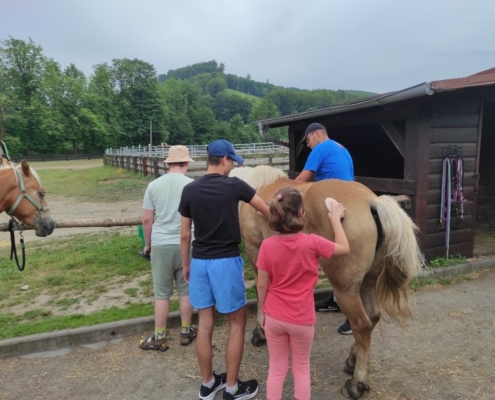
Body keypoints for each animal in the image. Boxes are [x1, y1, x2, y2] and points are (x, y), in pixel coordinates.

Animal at [234, 165, 424, 400]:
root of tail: (372, 201)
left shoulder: (256, 250)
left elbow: (262, 296)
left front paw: (260, 331)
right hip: (367, 281)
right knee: (372, 317)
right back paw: (352, 361)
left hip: (345, 290)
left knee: (362, 325)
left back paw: (356, 384)